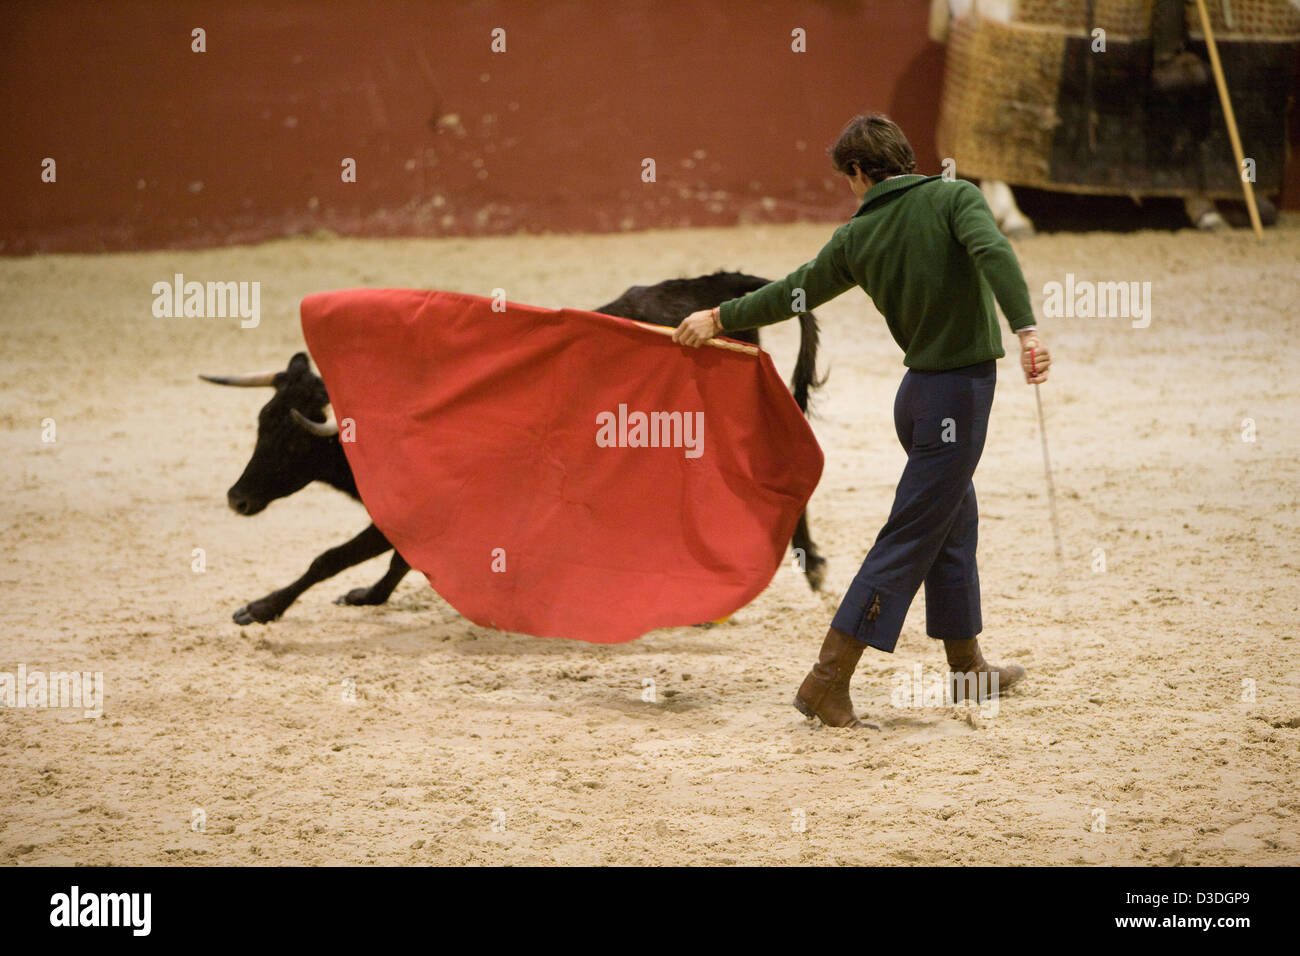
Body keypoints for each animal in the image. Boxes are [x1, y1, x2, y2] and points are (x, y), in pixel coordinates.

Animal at [204, 274, 826, 629]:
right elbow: (399, 558)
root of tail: (717, 292)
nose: (236, 498)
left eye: (290, 437)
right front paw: (369, 596)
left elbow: (331, 557)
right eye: (259, 423)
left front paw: (260, 609)